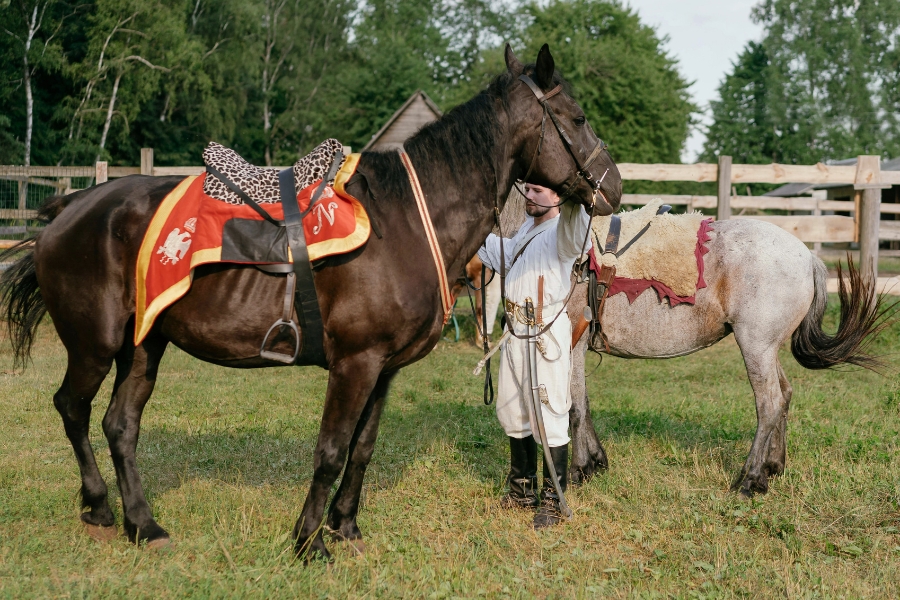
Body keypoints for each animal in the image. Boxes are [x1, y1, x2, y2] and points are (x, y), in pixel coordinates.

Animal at [0, 45, 620, 556]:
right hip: (94, 345)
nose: (612, 188)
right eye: (578, 119)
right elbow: (330, 450)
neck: (404, 221)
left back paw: (143, 524)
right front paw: (308, 541)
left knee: (119, 426)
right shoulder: (354, 364)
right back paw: (100, 508)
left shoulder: (383, 369)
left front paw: (345, 527)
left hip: (144, 347)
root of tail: (70, 207)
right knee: (73, 409)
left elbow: (362, 449)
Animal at [564, 217, 892, 496]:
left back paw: (750, 479)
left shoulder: (572, 346)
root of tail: (808, 257)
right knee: (784, 394)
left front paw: (579, 470)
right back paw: (773, 467)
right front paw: (597, 462)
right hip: (767, 349)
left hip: (756, 346)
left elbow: (576, 409)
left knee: (769, 404)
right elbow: (585, 404)